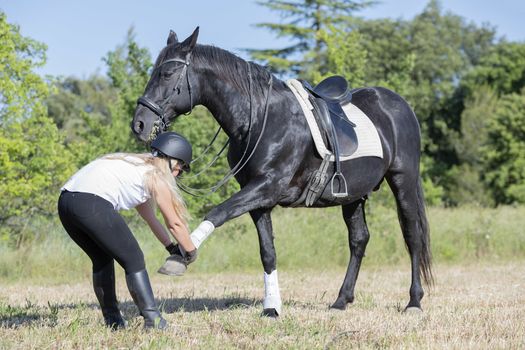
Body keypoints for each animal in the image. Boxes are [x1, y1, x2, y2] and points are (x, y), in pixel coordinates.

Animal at [131, 28, 430, 318]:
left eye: (167, 73)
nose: (139, 124)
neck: (261, 120)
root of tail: (399, 104)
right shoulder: (258, 199)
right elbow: (268, 252)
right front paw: (271, 306)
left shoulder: (267, 187)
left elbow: (218, 212)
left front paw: (180, 257)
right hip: (352, 194)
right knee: (359, 240)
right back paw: (341, 301)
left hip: (403, 181)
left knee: (412, 236)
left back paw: (414, 302)